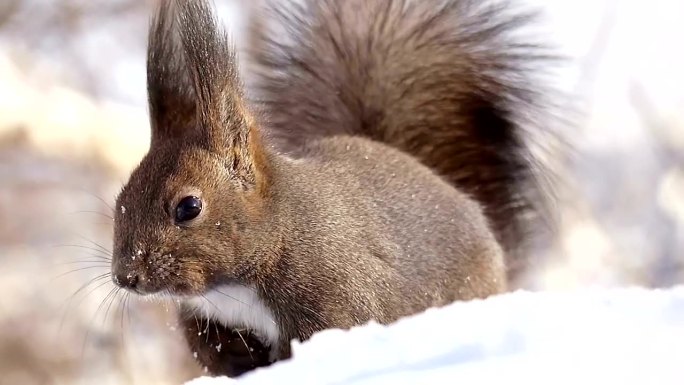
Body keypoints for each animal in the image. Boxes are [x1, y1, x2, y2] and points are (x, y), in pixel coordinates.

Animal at [109, 0, 552, 378]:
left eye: (188, 207)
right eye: (120, 201)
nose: (126, 277)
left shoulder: (340, 297)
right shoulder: (205, 319)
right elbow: (211, 350)